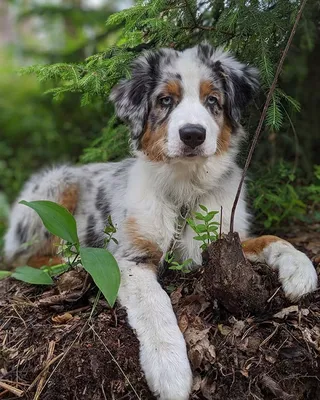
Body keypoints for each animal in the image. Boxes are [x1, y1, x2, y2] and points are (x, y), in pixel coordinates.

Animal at [3, 42, 318, 398]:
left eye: (213, 100)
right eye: (166, 100)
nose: (193, 135)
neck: (184, 187)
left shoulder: (220, 241)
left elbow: (272, 239)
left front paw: (301, 270)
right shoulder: (130, 257)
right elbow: (155, 304)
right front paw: (170, 370)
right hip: (54, 189)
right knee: (27, 259)